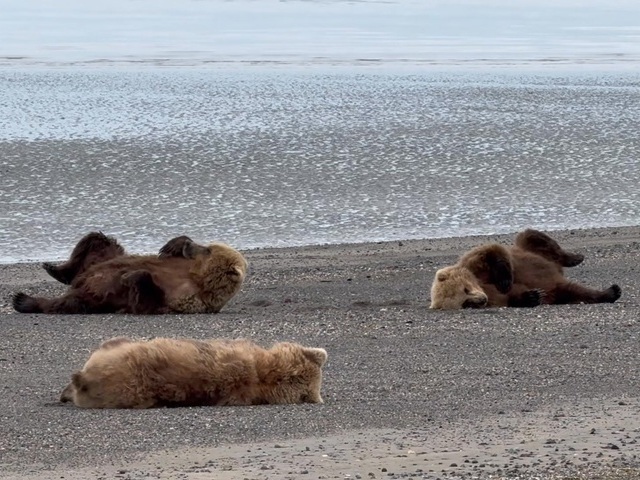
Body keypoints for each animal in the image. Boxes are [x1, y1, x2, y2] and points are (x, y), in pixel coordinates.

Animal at [12, 231, 248, 314]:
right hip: (103, 258)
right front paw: (175, 243)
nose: (192, 246)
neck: (196, 276)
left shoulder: (185, 297)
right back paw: (55, 270)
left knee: (71, 303)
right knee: (97, 238)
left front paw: (131, 276)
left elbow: (145, 303)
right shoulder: (180, 265)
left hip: (94, 296)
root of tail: (80, 281)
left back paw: (23, 300)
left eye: (208, 250)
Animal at [430, 228, 622, 309]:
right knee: (575, 291)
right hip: (559, 286)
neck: (481, 283)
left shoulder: (473, 263)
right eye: (465, 303)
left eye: (466, 289)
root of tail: (559, 270)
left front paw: (504, 279)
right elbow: (513, 296)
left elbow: (492, 252)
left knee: (532, 235)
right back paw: (610, 292)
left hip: (530, 247)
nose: (481, 300)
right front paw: (532, 296)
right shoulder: (496, 296)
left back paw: (576, 257)